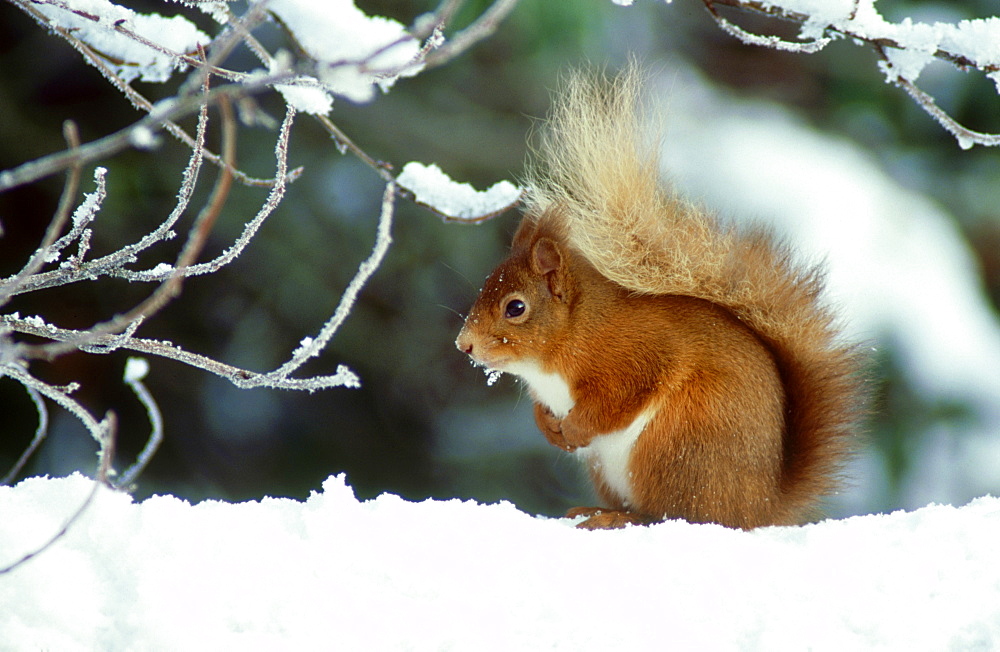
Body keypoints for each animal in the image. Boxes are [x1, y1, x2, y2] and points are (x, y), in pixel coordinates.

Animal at [458, 65, 864, 528]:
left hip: (676, 447)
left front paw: (576, 428)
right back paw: (598, 509)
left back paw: (617, 518)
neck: (565, 344)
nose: (463, 344)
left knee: (673, 513)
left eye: (516, 308)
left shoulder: (634, 357)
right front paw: (548, 427)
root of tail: (759, 507)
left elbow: (616, 400)